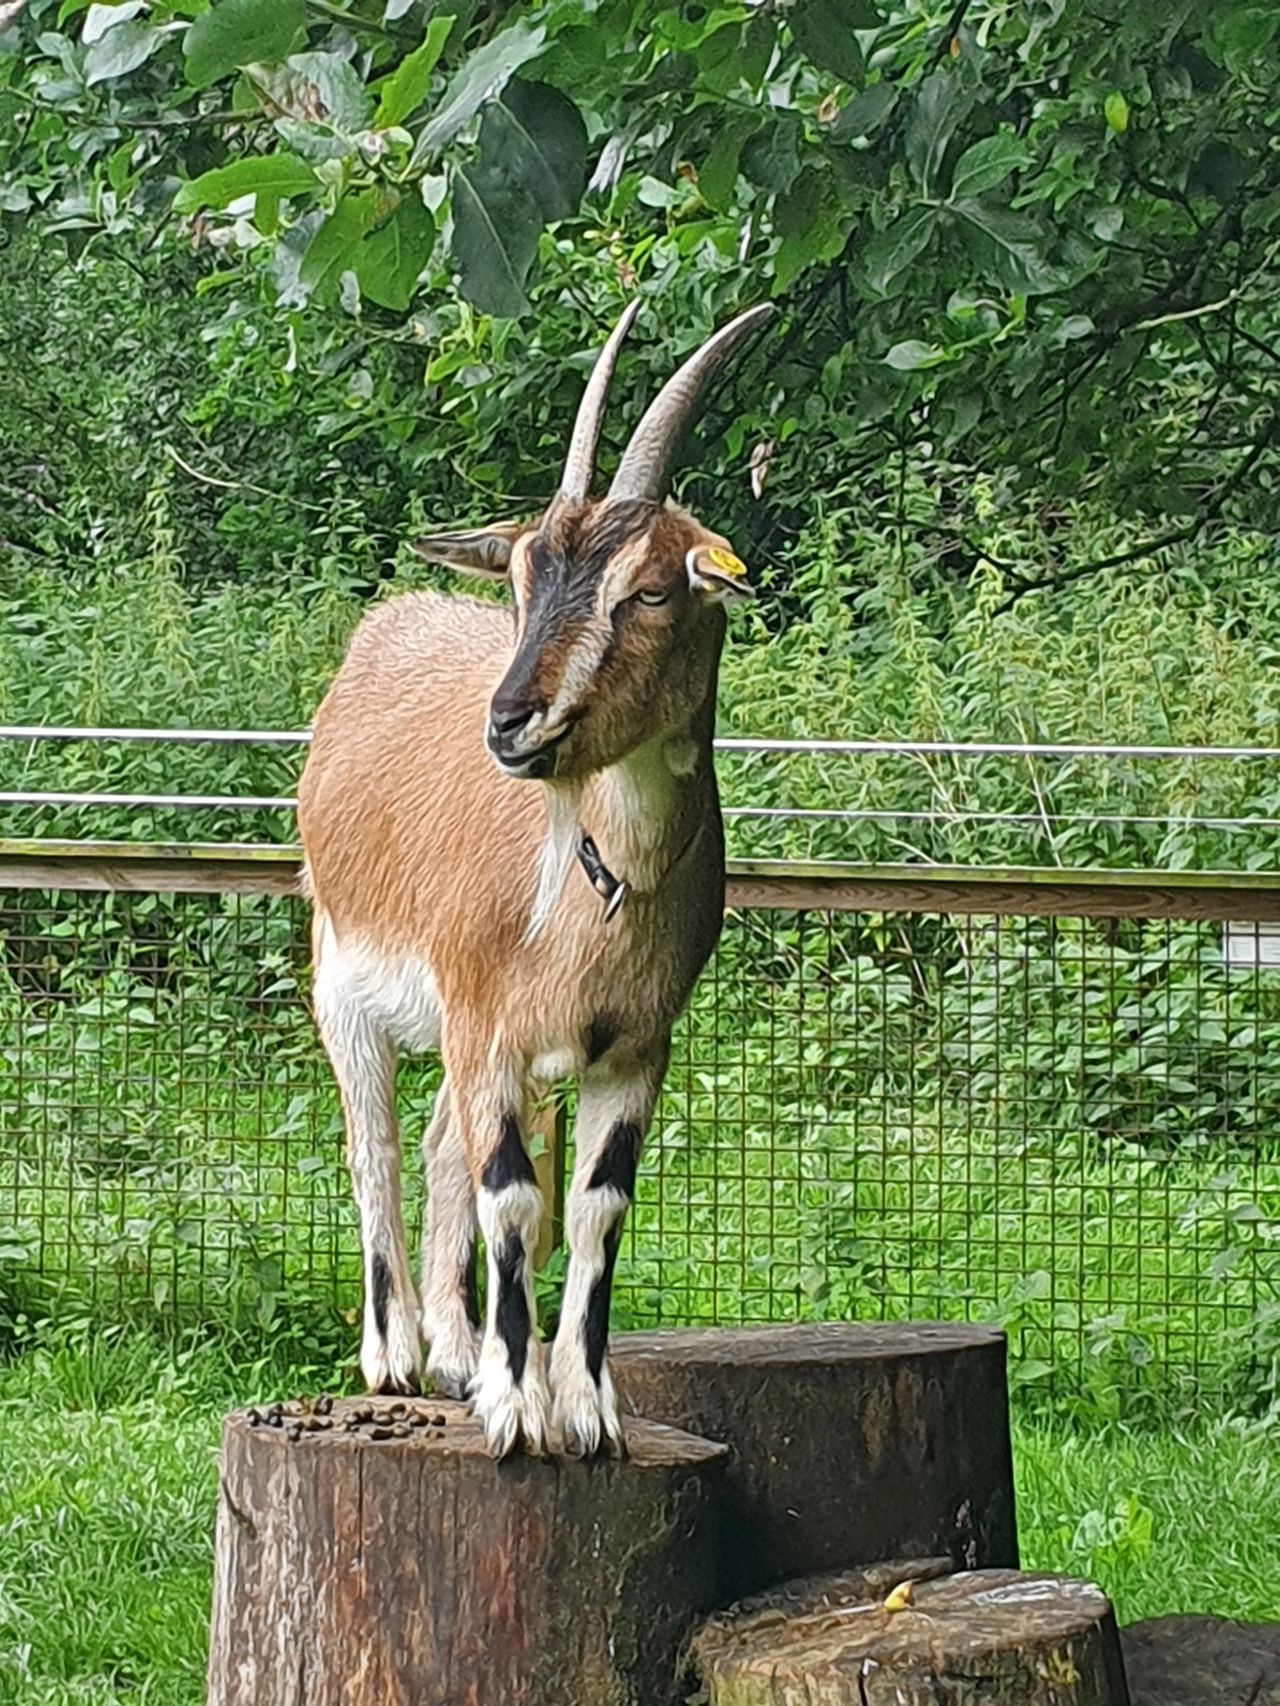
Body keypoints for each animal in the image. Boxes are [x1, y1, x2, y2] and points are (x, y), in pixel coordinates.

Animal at [297, 301, 772, 1456]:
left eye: (650, 588)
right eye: (518, 585)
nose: (510, 723)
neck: (594, 888)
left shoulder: (633, 1045)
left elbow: (597, 1204)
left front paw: (585, 1404)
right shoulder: (487, 1022)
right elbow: (511, 1197)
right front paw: (518, 1409)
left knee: (435, 1145)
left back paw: (453, 1348)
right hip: (344, 971)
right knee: (374, 1143)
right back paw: (396, 1352)